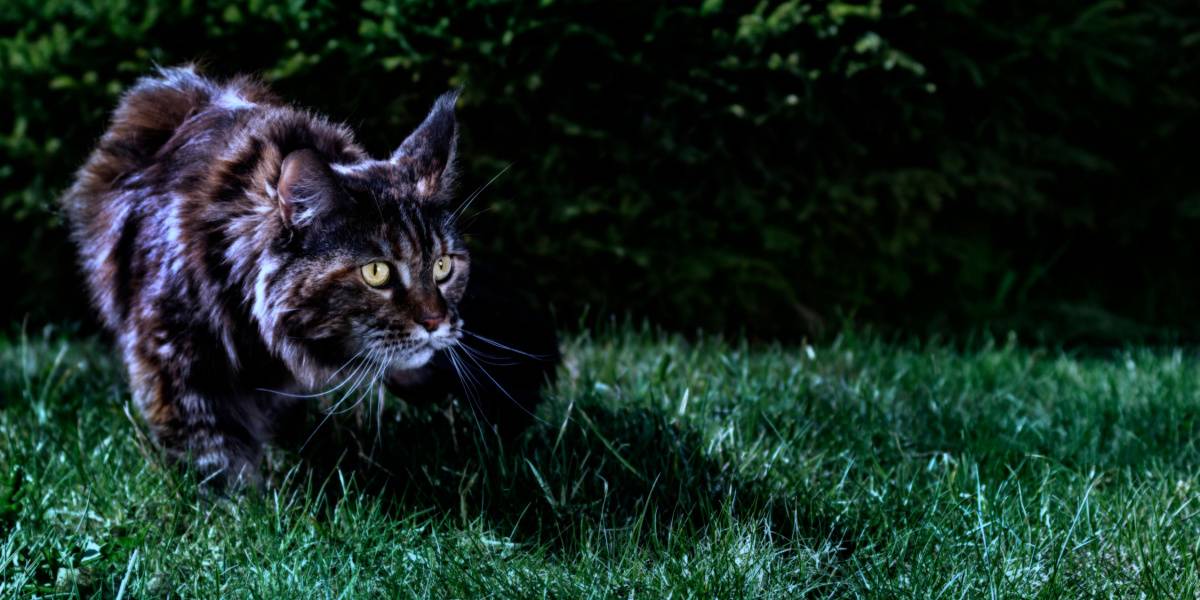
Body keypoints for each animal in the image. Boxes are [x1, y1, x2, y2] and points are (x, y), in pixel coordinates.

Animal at [65, 66, 552, 487]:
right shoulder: (174, 358)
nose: (435, 321)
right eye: (376, 272)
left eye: (443, 266)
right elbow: (215, 457)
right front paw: (240, 516)